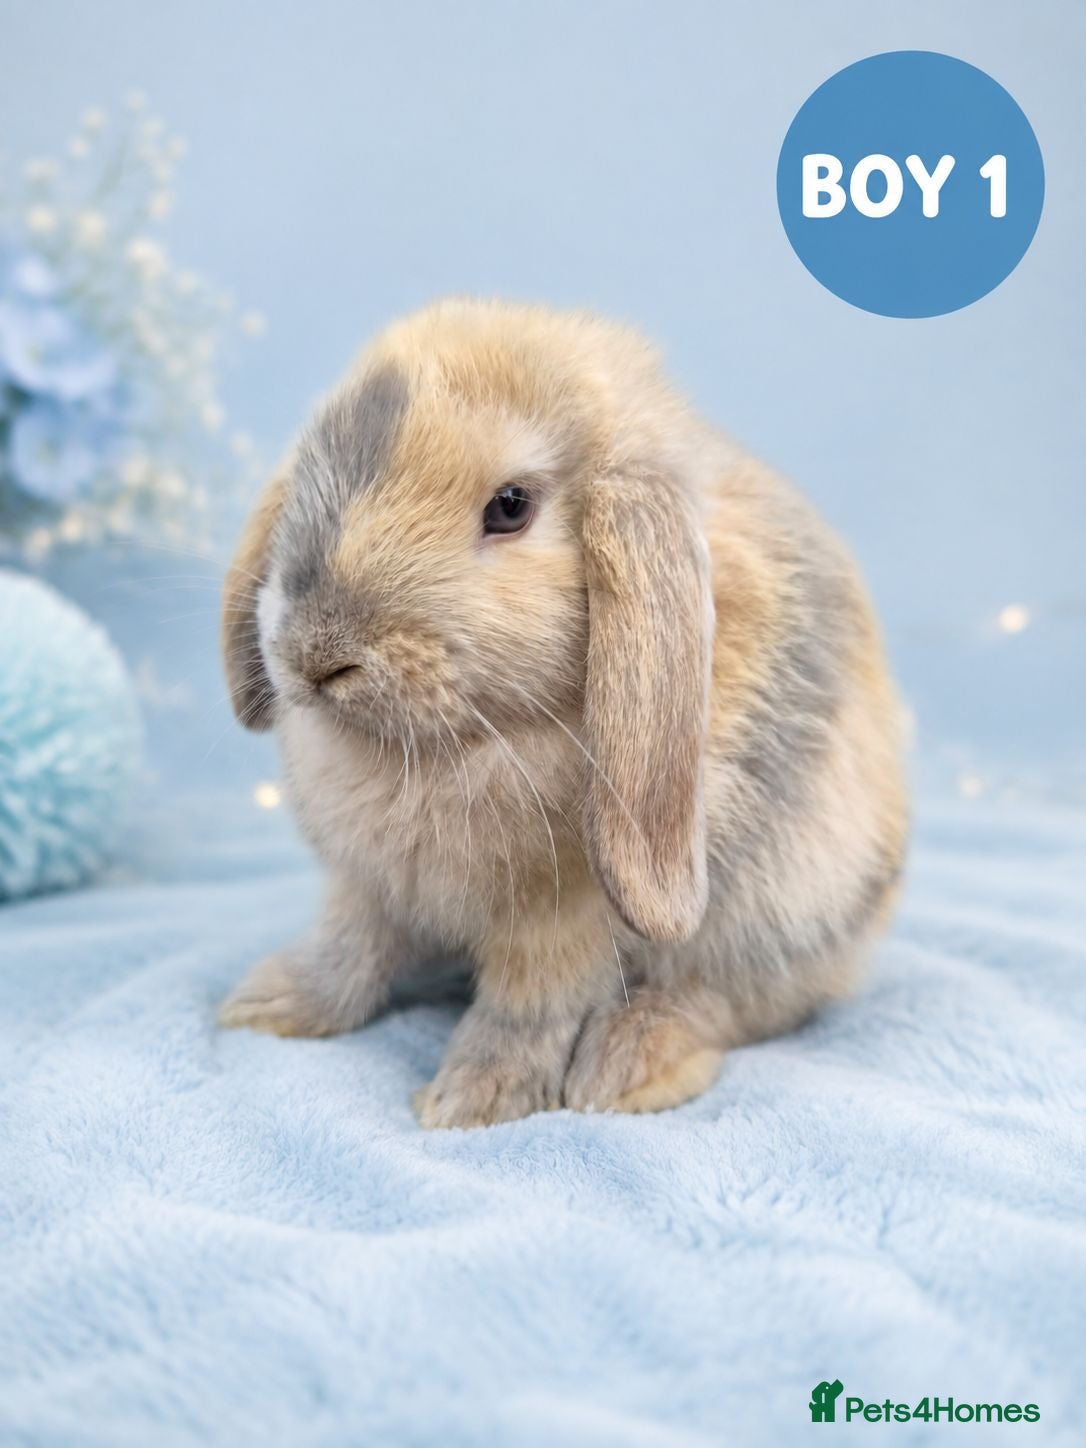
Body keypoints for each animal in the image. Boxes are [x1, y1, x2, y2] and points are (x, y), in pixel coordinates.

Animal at [218, 298, 908, 1128]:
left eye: (511, 506)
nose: (316, 653)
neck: (466, 740)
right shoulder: (368, 889)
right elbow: (348, 951)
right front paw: (267, 1005)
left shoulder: (567, 919)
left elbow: (528, 1004)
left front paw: (472, 1098)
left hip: (789, 912)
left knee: (737, 1001)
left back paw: (631, 1062)